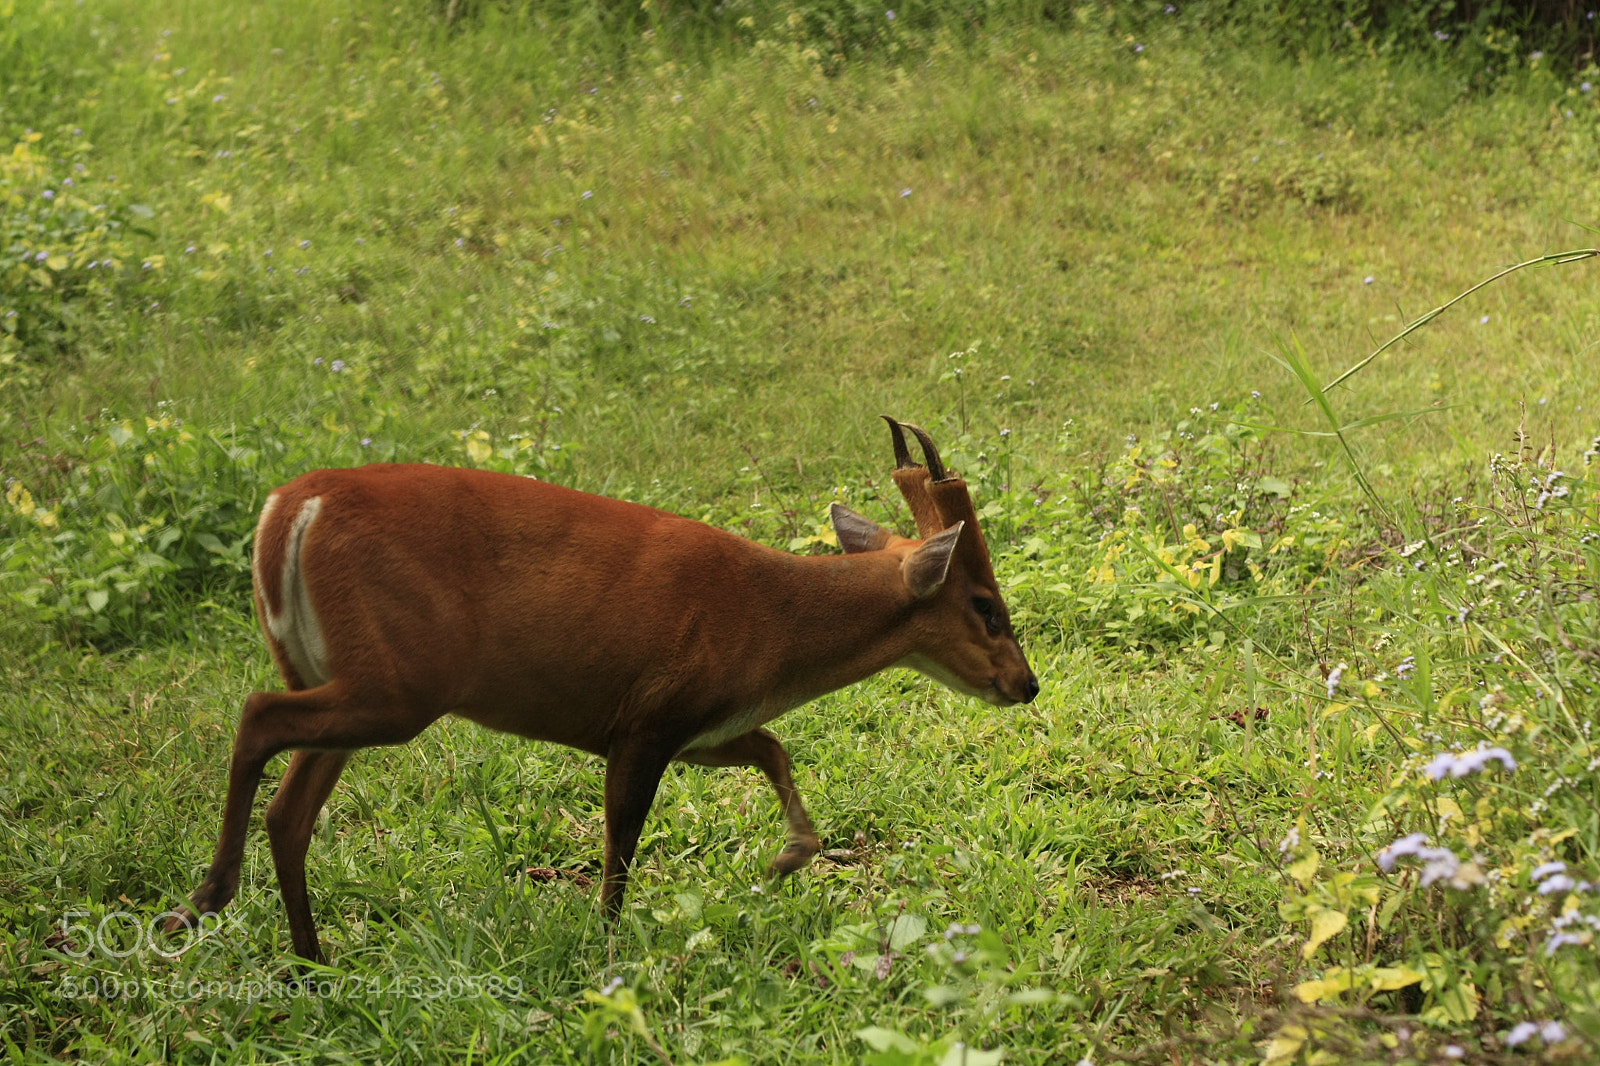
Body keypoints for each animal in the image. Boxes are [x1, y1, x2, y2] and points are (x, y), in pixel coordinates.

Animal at [165, 417, 1038, 962]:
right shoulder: (647, 718)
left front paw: (786, 856)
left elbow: (774, 750)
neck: (771, 625)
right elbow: (622, 841)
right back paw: (209, 894)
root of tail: (290, 507)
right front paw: (608, 941)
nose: (1026, 685)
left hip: (341, 673)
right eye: (986, 606)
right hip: (400, 681)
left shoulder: (703, 728)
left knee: (289, 809)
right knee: (258, 717)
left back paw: (311, 959)